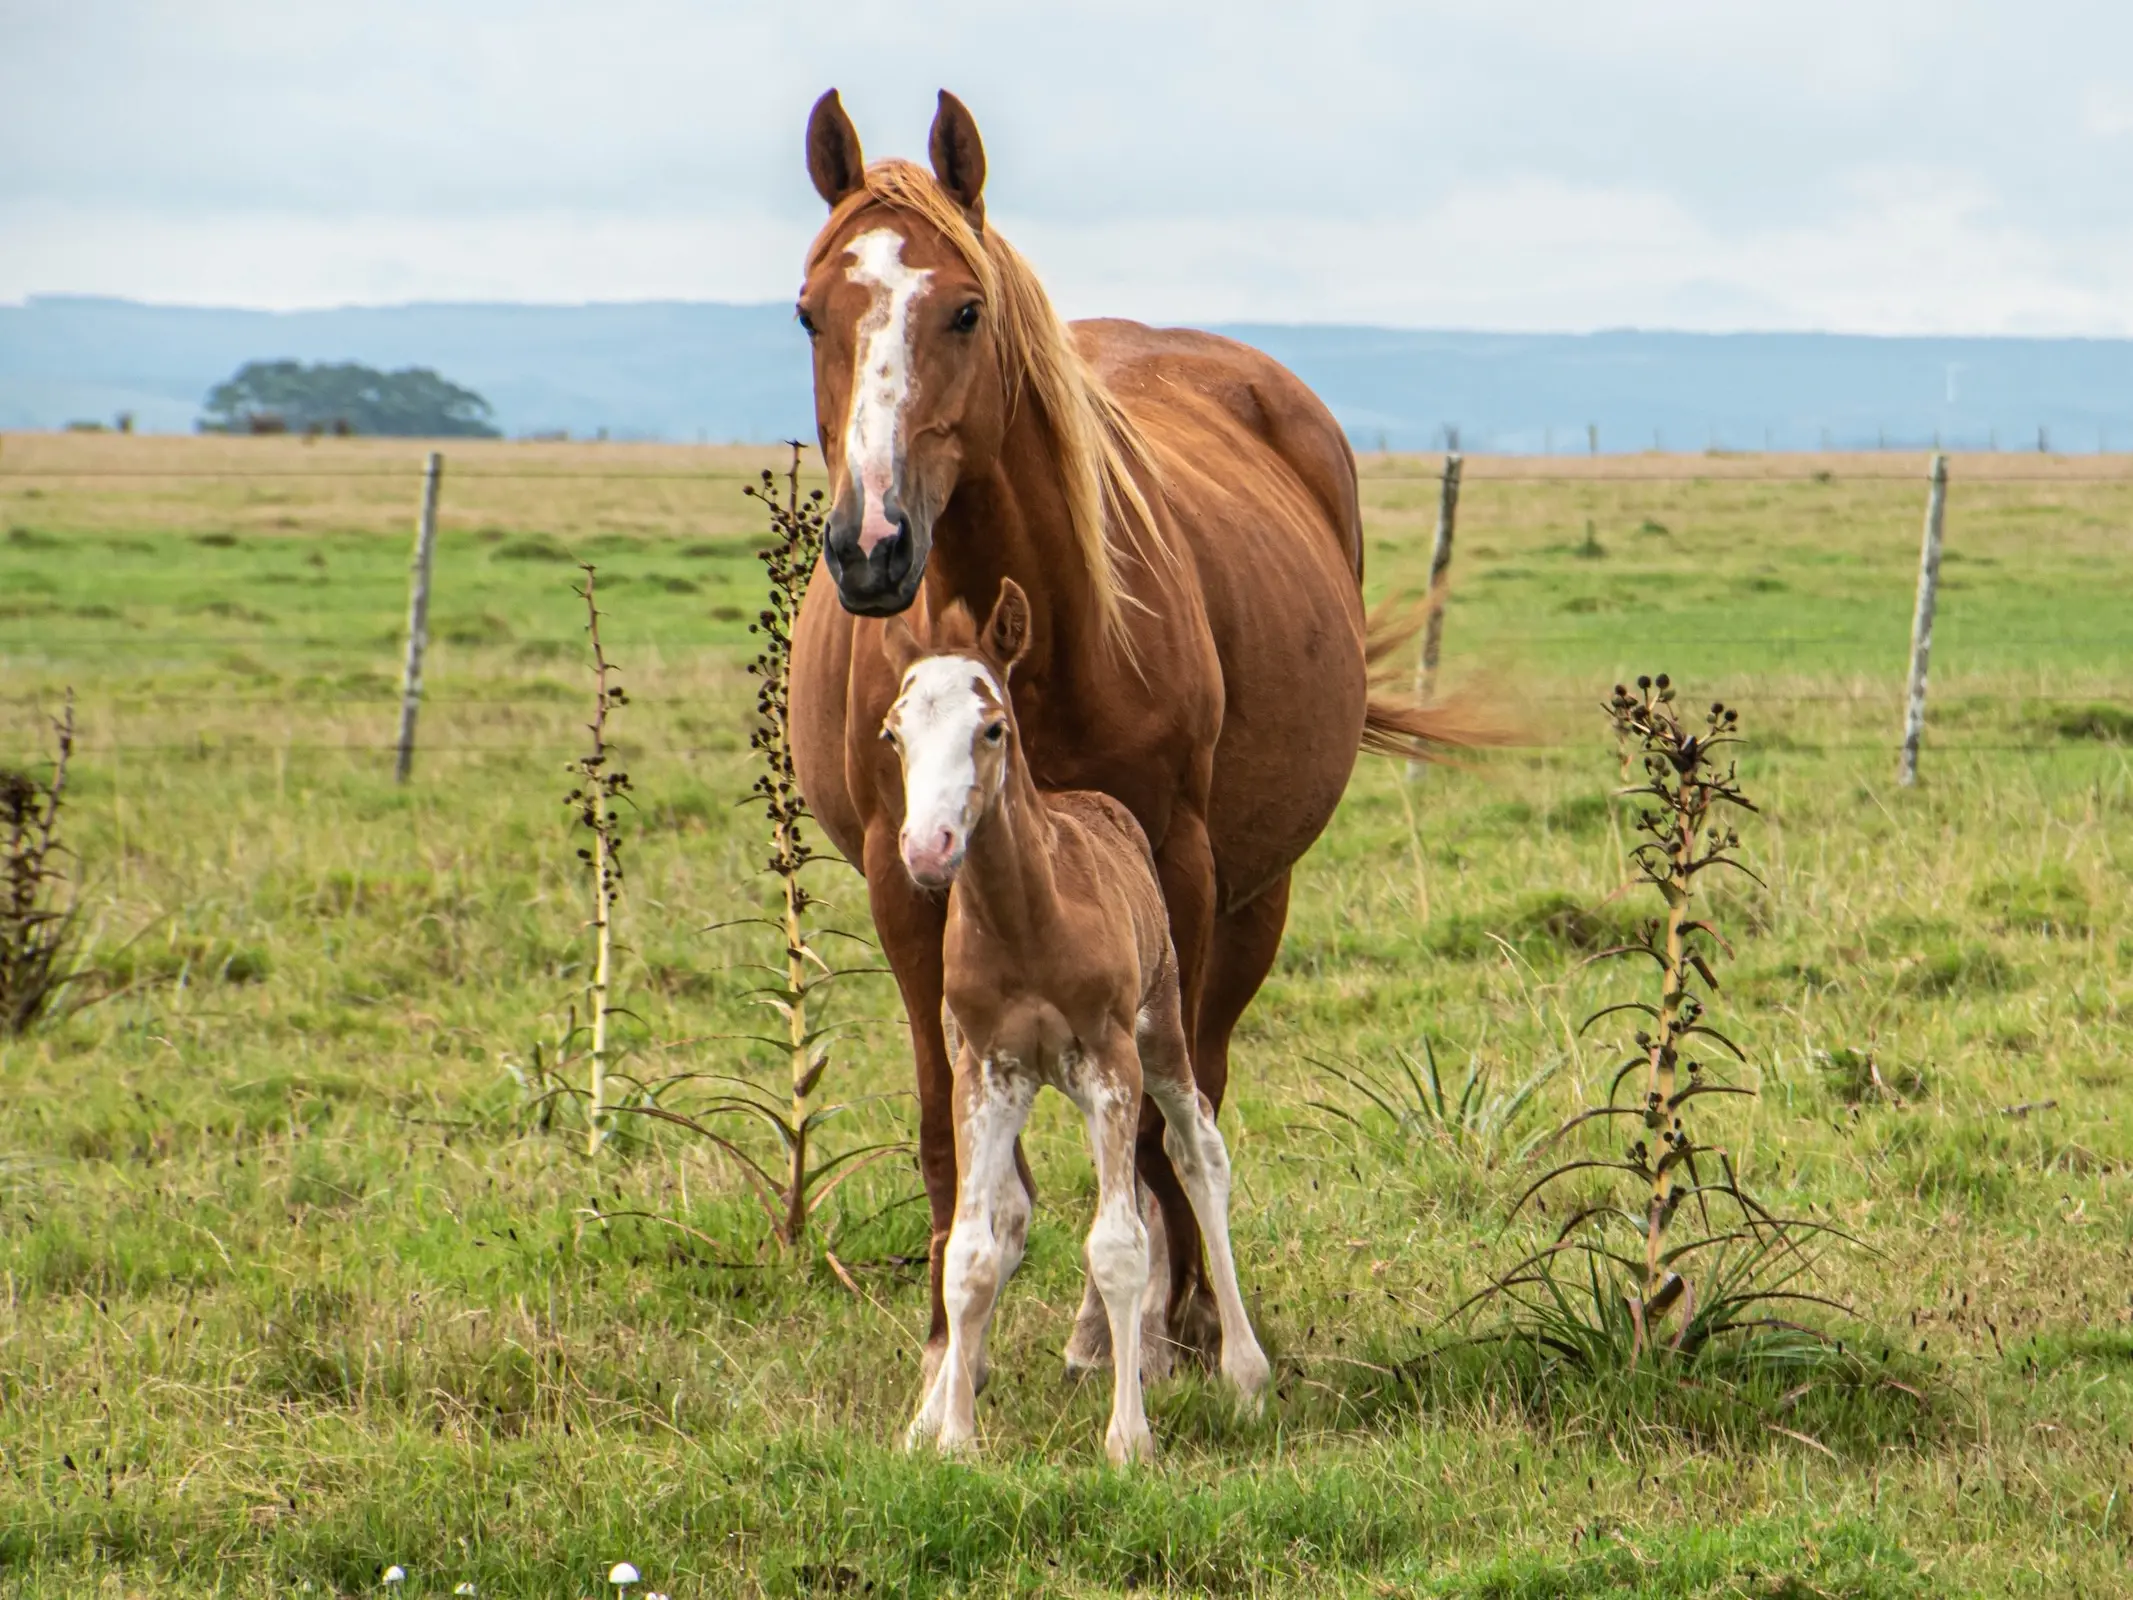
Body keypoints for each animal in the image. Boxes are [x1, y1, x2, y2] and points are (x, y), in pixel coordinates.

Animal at [883, 584, 1262, 1467]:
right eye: (892, 731)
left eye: (993, 728)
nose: (927, 849)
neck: (1029, 922)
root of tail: (1100, 802)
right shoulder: (986, 1069)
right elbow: (971, 1252)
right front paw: (952, 1439)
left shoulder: (1109, 1062)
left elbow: (1118, 1245)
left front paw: (1128, 1440)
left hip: (1161, 1034)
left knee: (1199, 1152)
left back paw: (1245, 1373)